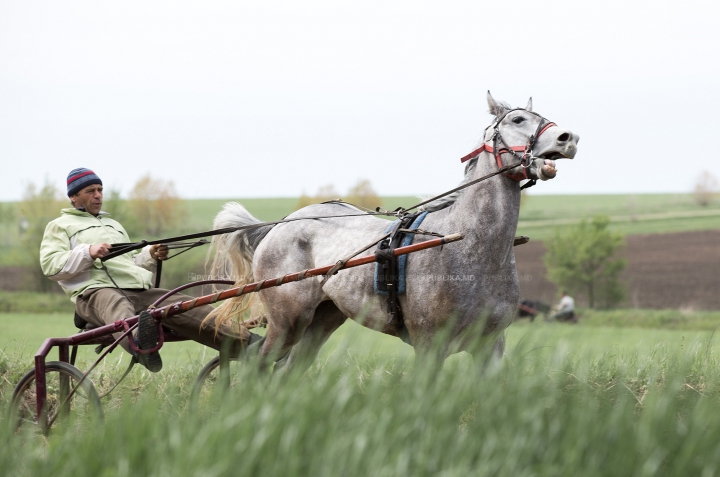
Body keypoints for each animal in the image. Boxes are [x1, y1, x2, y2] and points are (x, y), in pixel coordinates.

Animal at [208, 91, 580, 370]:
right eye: (518, 120)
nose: (569, 138)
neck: (472, 248)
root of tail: (279, 225)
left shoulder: (491, 347)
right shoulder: (430, 346)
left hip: (322, 320)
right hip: (287, 322)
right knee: (257, 366)